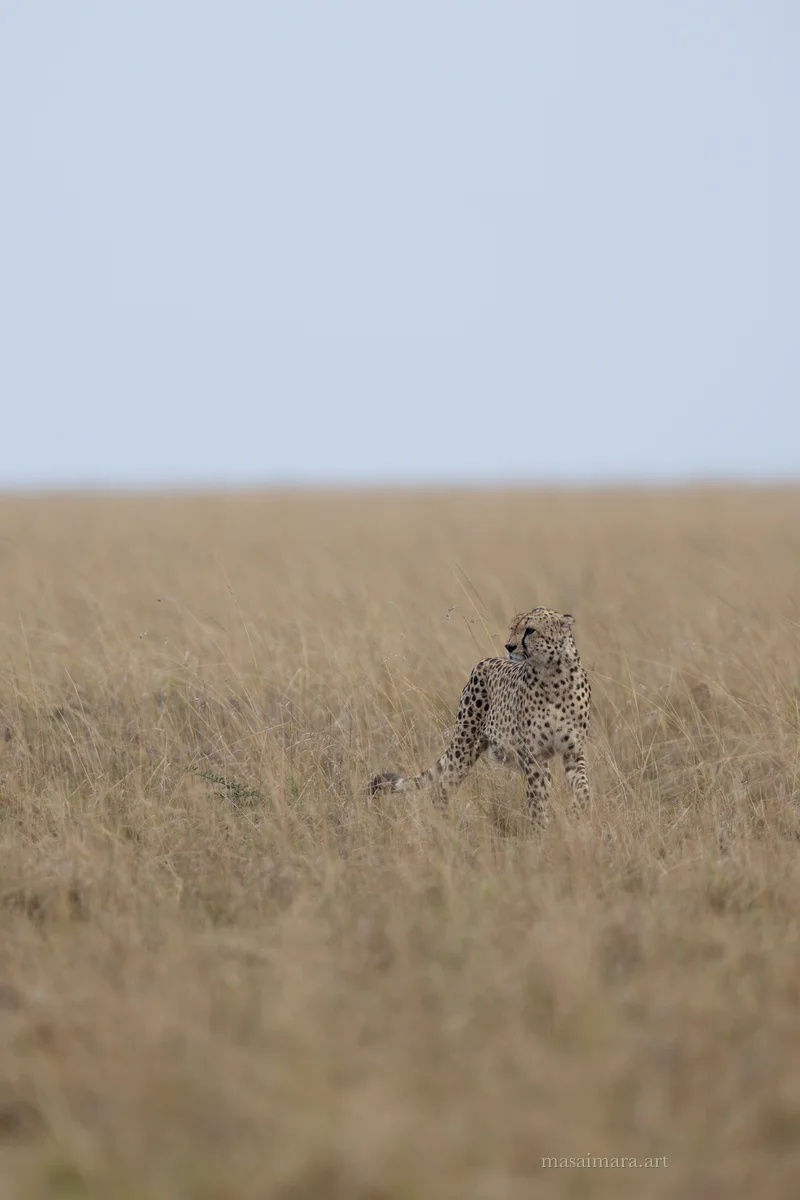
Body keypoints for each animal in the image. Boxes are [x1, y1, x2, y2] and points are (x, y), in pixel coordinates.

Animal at [369, 607, 591, 822]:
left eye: (530, 630)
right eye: (513, 628)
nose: (509, 646)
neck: (553, 676)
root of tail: (485, 661)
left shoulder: (572, 751)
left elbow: (583, 788)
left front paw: (575, 812)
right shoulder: (534, 755)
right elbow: (537, 800)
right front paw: (541, 829)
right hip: (465, 745)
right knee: (442, 787)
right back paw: (443, 825)